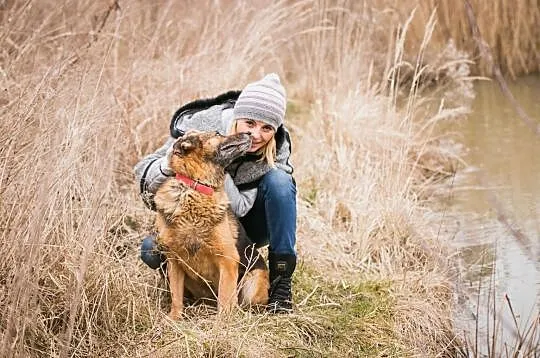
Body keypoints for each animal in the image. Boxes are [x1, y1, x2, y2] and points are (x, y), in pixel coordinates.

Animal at [153, 131, 268, 318]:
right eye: (218, 133)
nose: (249, 133)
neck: (195, 189)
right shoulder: (174, 261)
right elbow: (176, 296)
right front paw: (174, 318)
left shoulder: (228, 260)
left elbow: (225, 299)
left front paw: (222, 323)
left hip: (253, 282)